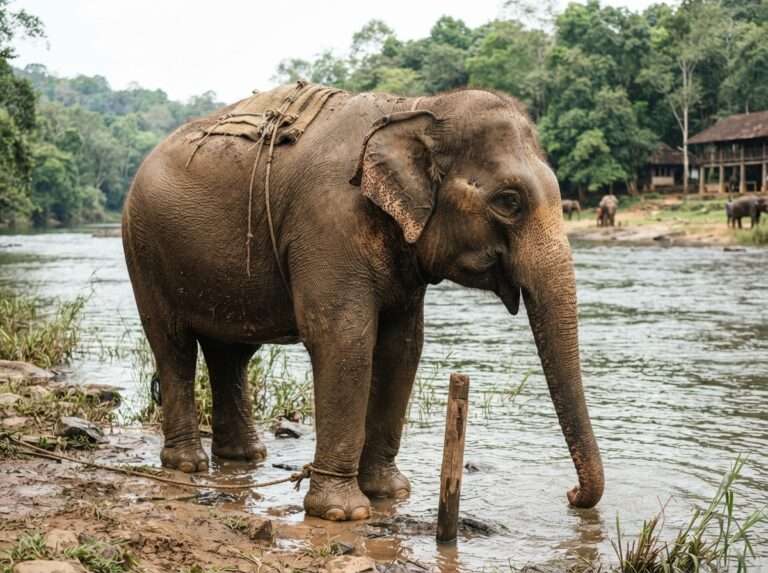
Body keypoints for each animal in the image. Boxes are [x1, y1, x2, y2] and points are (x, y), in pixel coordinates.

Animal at [122, 83, 604, 522]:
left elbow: (402, 347)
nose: (570, 495)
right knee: (173, 345)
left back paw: (243, 457)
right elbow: (344, 339)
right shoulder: (326, 223)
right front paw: (343, 513)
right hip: (143, 248)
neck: (417, 108)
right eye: (509, 201)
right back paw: (188, 465)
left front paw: (390, 493)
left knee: (230, 353)